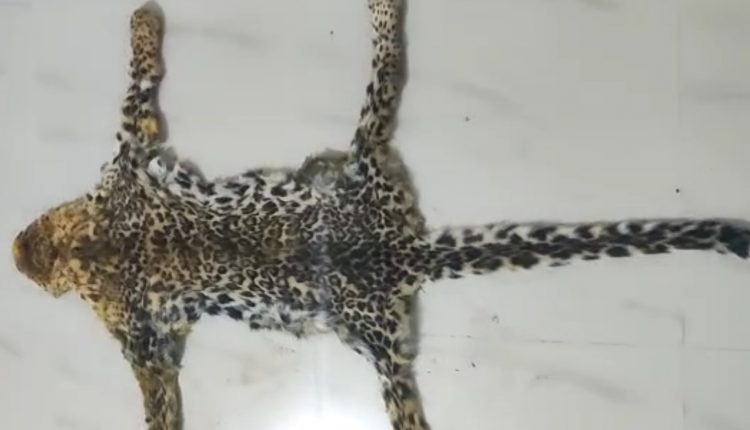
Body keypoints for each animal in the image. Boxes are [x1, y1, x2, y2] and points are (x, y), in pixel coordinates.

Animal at [11, 1, 750, 429]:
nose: (16, 254)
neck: (81, 247)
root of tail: (398, 249)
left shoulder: (129, 165)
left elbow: (155, 396)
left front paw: (144, 17)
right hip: (372, 254)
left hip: (377, 316)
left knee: (384, 72)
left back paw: (381, 8)